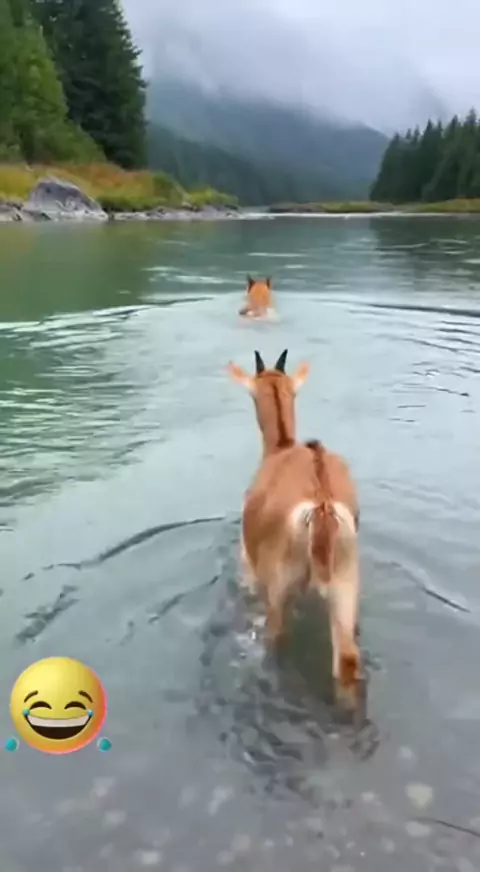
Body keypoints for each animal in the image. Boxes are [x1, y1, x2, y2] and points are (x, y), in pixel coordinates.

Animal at [227, 349, 361, 707]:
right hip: (345, 584)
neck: (281, 447)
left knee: (278, 641)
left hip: (280, 590)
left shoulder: (249, 568)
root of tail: (321, 504)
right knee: (347, 659)